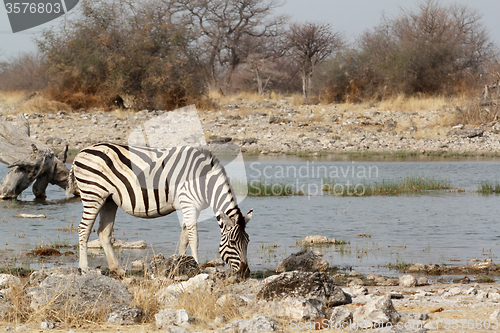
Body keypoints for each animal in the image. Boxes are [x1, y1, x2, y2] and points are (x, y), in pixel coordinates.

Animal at [67, 142, 250, 274]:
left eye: (247, 241)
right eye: (233, 242)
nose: (245, 272)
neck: (204, 180)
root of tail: (81, 152)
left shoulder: (190, 207)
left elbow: (184, 237)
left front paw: (180, 263)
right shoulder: (189, 203)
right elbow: (194, 238)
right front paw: (197, 266)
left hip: (109, 199)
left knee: (103, 232)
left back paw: (117, 269)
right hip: (93, 193)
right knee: (83, 228)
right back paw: (84, 267)